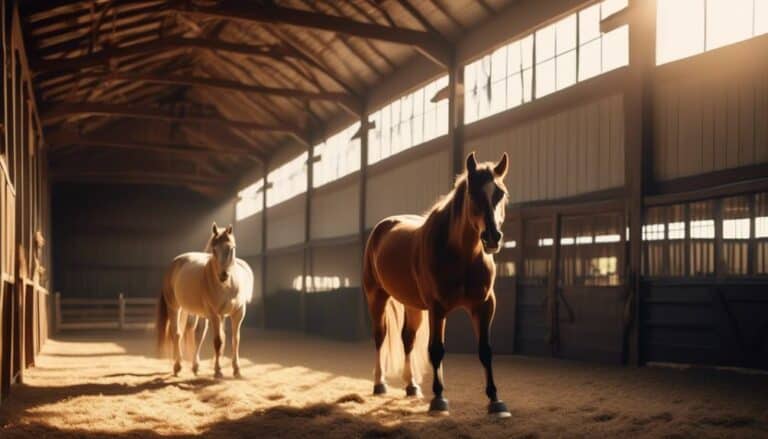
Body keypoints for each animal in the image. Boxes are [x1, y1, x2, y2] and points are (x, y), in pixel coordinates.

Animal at [158, 223, 254, 378]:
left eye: (232, 248)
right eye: (214, 249)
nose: (223, 275)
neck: (227, 286)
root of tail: (174, 263)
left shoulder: (237, 313)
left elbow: (235, 339)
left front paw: (237, 370)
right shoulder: (214, 314)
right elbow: (218, 341)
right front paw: (218, 370)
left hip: (193, 311)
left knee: (196, 334)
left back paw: (195, 366)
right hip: (174, 307)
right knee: (176, 333)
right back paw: (177, 366)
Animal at [364, 153, 510, 418]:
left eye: (500, 193)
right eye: (472, 193)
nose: (493, 237)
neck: (462, 256)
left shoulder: (484, 306)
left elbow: (485, 350)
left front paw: (495, 401)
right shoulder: (437, 307)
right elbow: (436, 349)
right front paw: (439, 399)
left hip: (412, 306)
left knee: (408, 339)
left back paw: (411, 386)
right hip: (376, 296)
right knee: (380, 336)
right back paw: (380, 384)